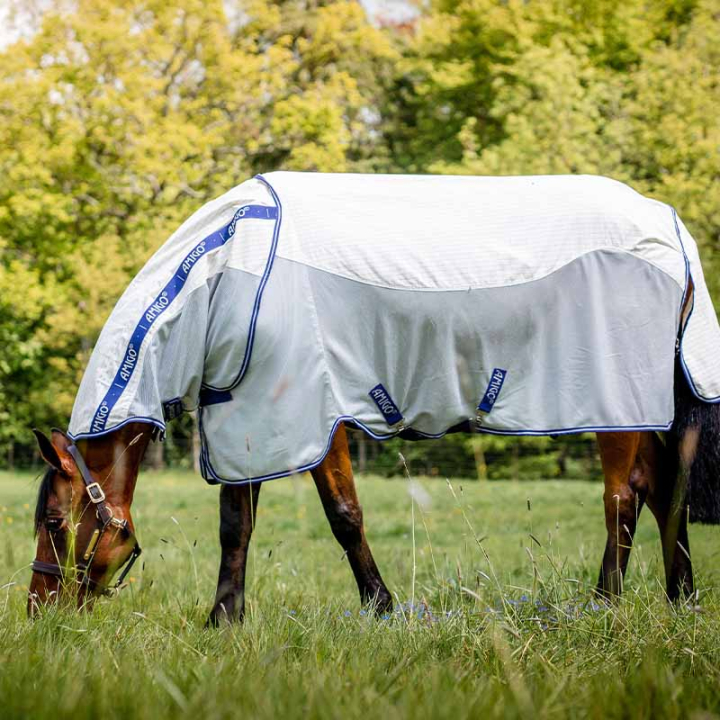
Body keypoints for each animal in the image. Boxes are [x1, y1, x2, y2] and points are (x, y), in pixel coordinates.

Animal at [28, 172, 720, 620]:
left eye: (55, 521)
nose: (38, 611)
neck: (226, 271)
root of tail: (669, 226)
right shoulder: (251, 419)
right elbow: (243, 524)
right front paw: (233, 618)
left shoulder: (306, 416)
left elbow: (334, 516)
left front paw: (372, 608)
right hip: (644, 405)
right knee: (665, 489)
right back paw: (679, 597)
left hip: (616, 405)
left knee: (623, 496)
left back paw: (604, 604)